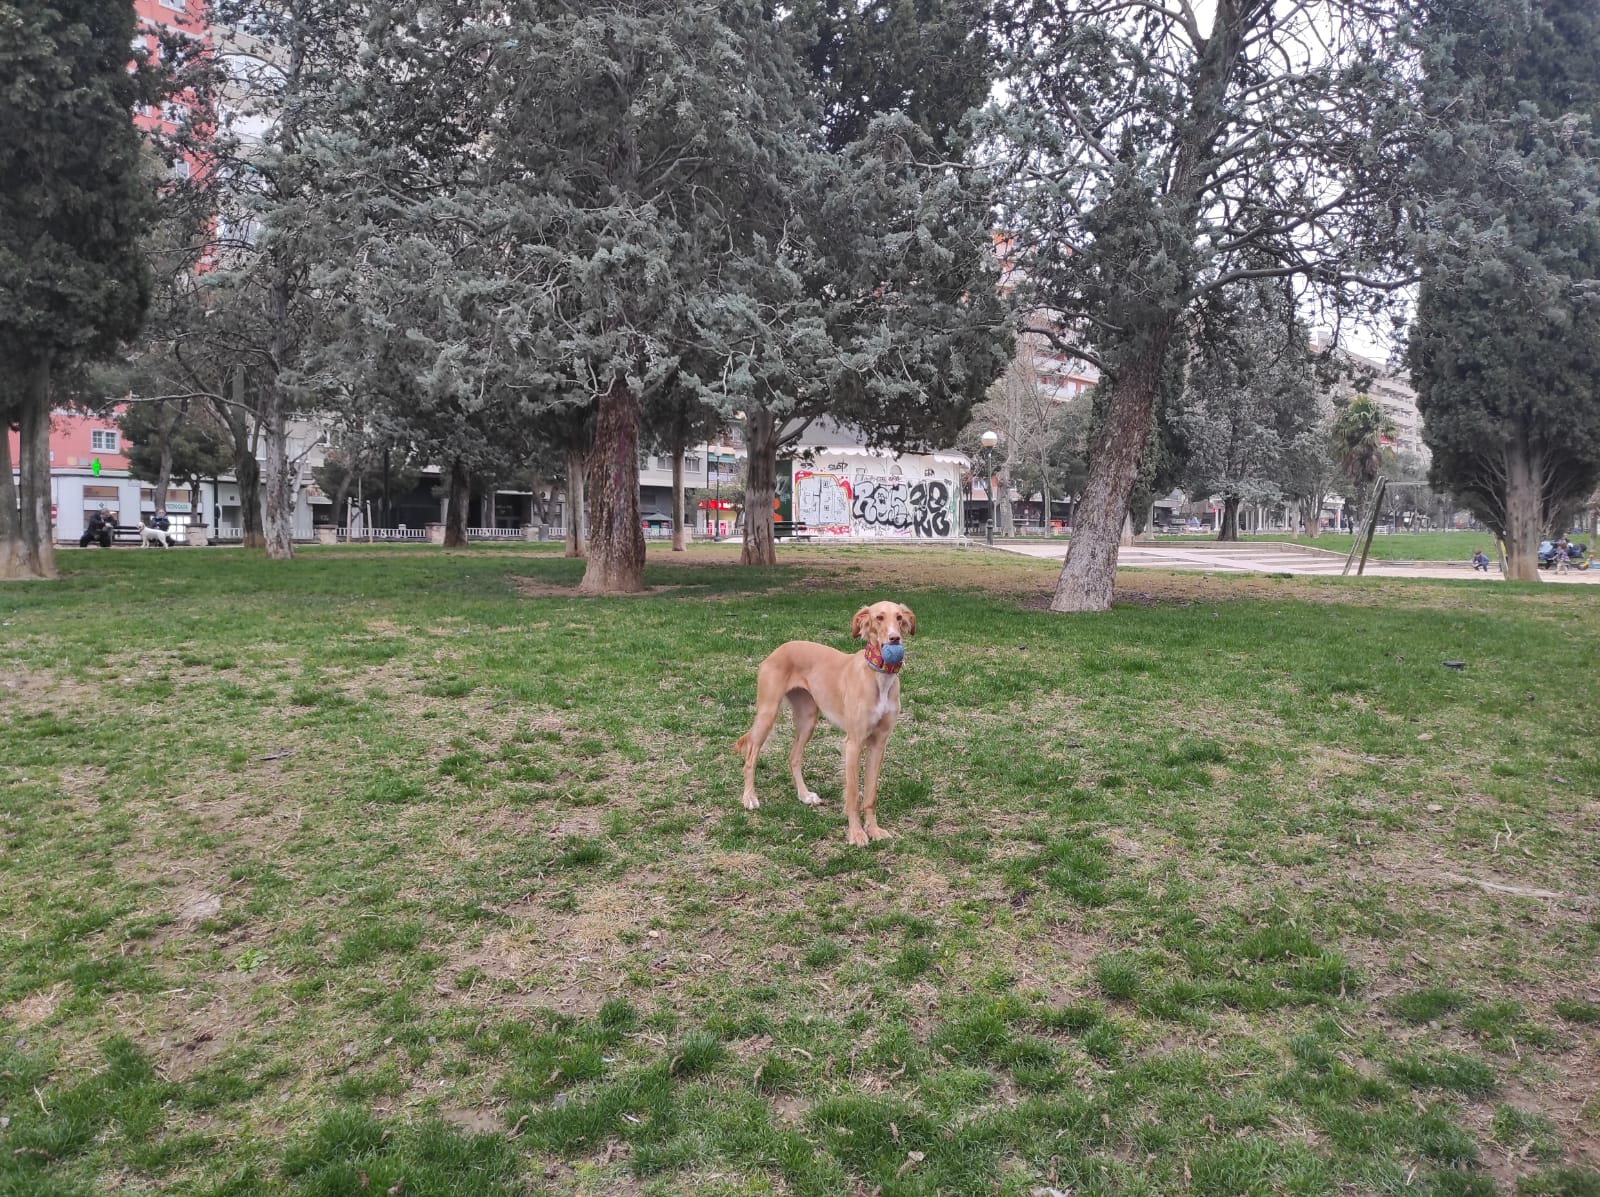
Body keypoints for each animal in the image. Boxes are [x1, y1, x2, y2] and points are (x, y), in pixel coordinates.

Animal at [732, 601, 915, 844]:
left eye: (899, 617)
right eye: (879, 617)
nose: (895, 639)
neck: (878, 677)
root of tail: (779, 649)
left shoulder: (879, 743)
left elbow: (870, 795)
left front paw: (874, 830)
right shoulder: (854, 742)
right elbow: (853, 794)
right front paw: (856, 834)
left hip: (808, 718)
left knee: (793, 757)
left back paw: (804, 795)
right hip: (767, 713)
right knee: (751, 755)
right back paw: (749, 797)